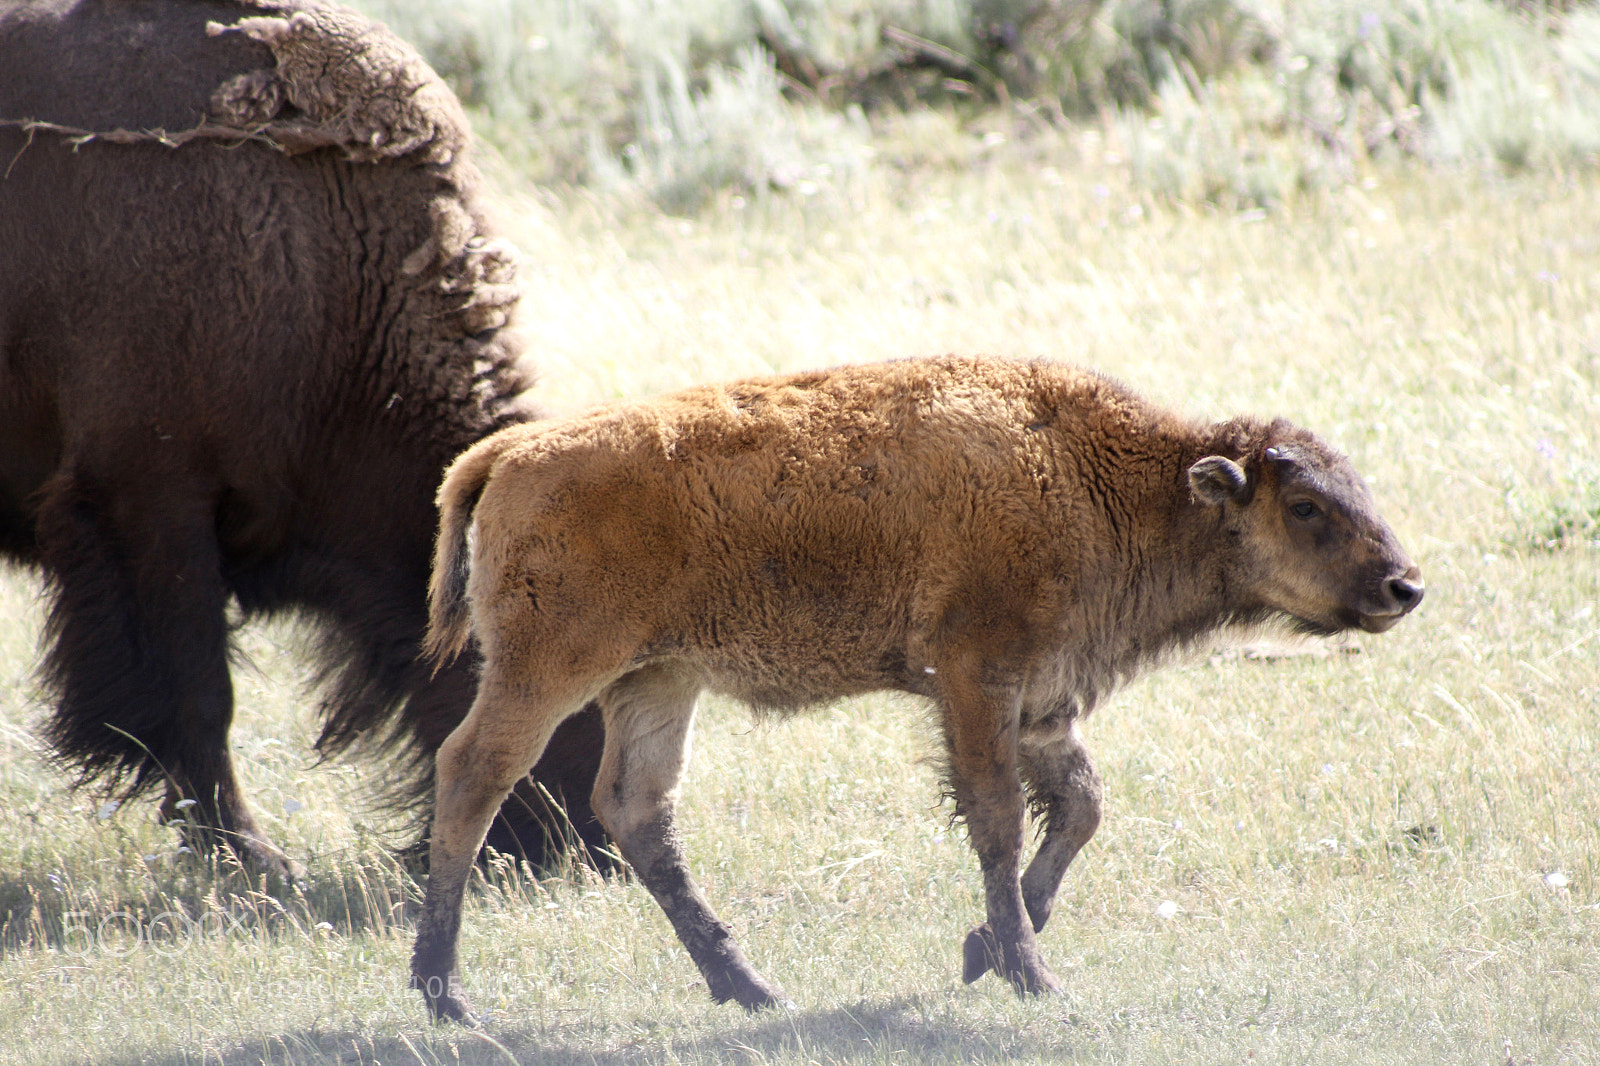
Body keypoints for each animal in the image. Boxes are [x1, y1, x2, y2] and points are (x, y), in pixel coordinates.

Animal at [408, 353, 1424, 1022]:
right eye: (1306, 507)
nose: (1404, 586)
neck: (1105, 477)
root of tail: (512, 453)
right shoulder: (977, 679)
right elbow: (999, 820)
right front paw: (1029, 973)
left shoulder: (1043, 700)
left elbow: (1081, 807)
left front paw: (987, 950)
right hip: (547, 670)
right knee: (473, 776)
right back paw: (446, 996)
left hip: (658, 681)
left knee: (636, 810)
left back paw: (752, 990)